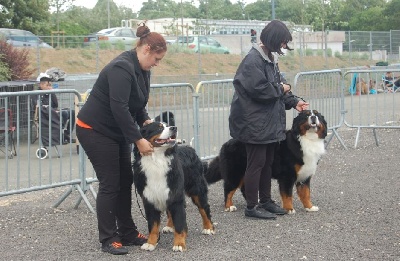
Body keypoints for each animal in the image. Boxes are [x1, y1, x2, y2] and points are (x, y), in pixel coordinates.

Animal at [134, 121, 216, 251]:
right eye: (159, 128)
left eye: (167, 125)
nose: (174, 128)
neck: (157, 161)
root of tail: (190, 148)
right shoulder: (149, 198)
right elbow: (152, 225)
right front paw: (151, 243)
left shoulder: (175, 195)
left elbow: (179, 222)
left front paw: (179, 244)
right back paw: (169, 226)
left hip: (197, 189)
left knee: (204, 208)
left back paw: (208, 227)